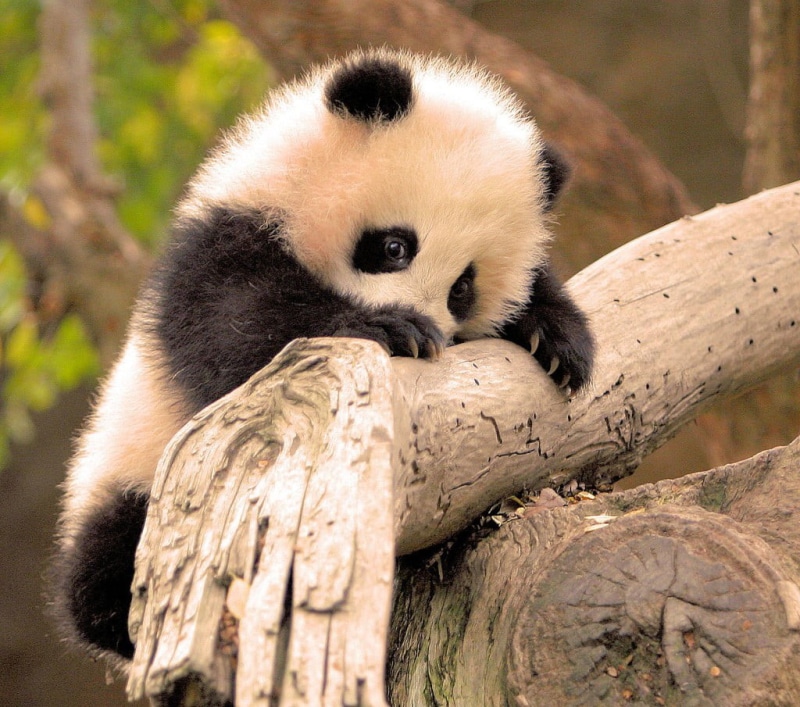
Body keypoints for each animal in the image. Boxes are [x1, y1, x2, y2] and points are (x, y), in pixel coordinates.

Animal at [51, 48, 594, 667]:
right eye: (394, 246)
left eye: (463, 288)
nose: (430, 325)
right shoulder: (218, 248)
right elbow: (243, 329)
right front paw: (389, 328)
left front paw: (557, 339)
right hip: (136, 467)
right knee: (107, 563)